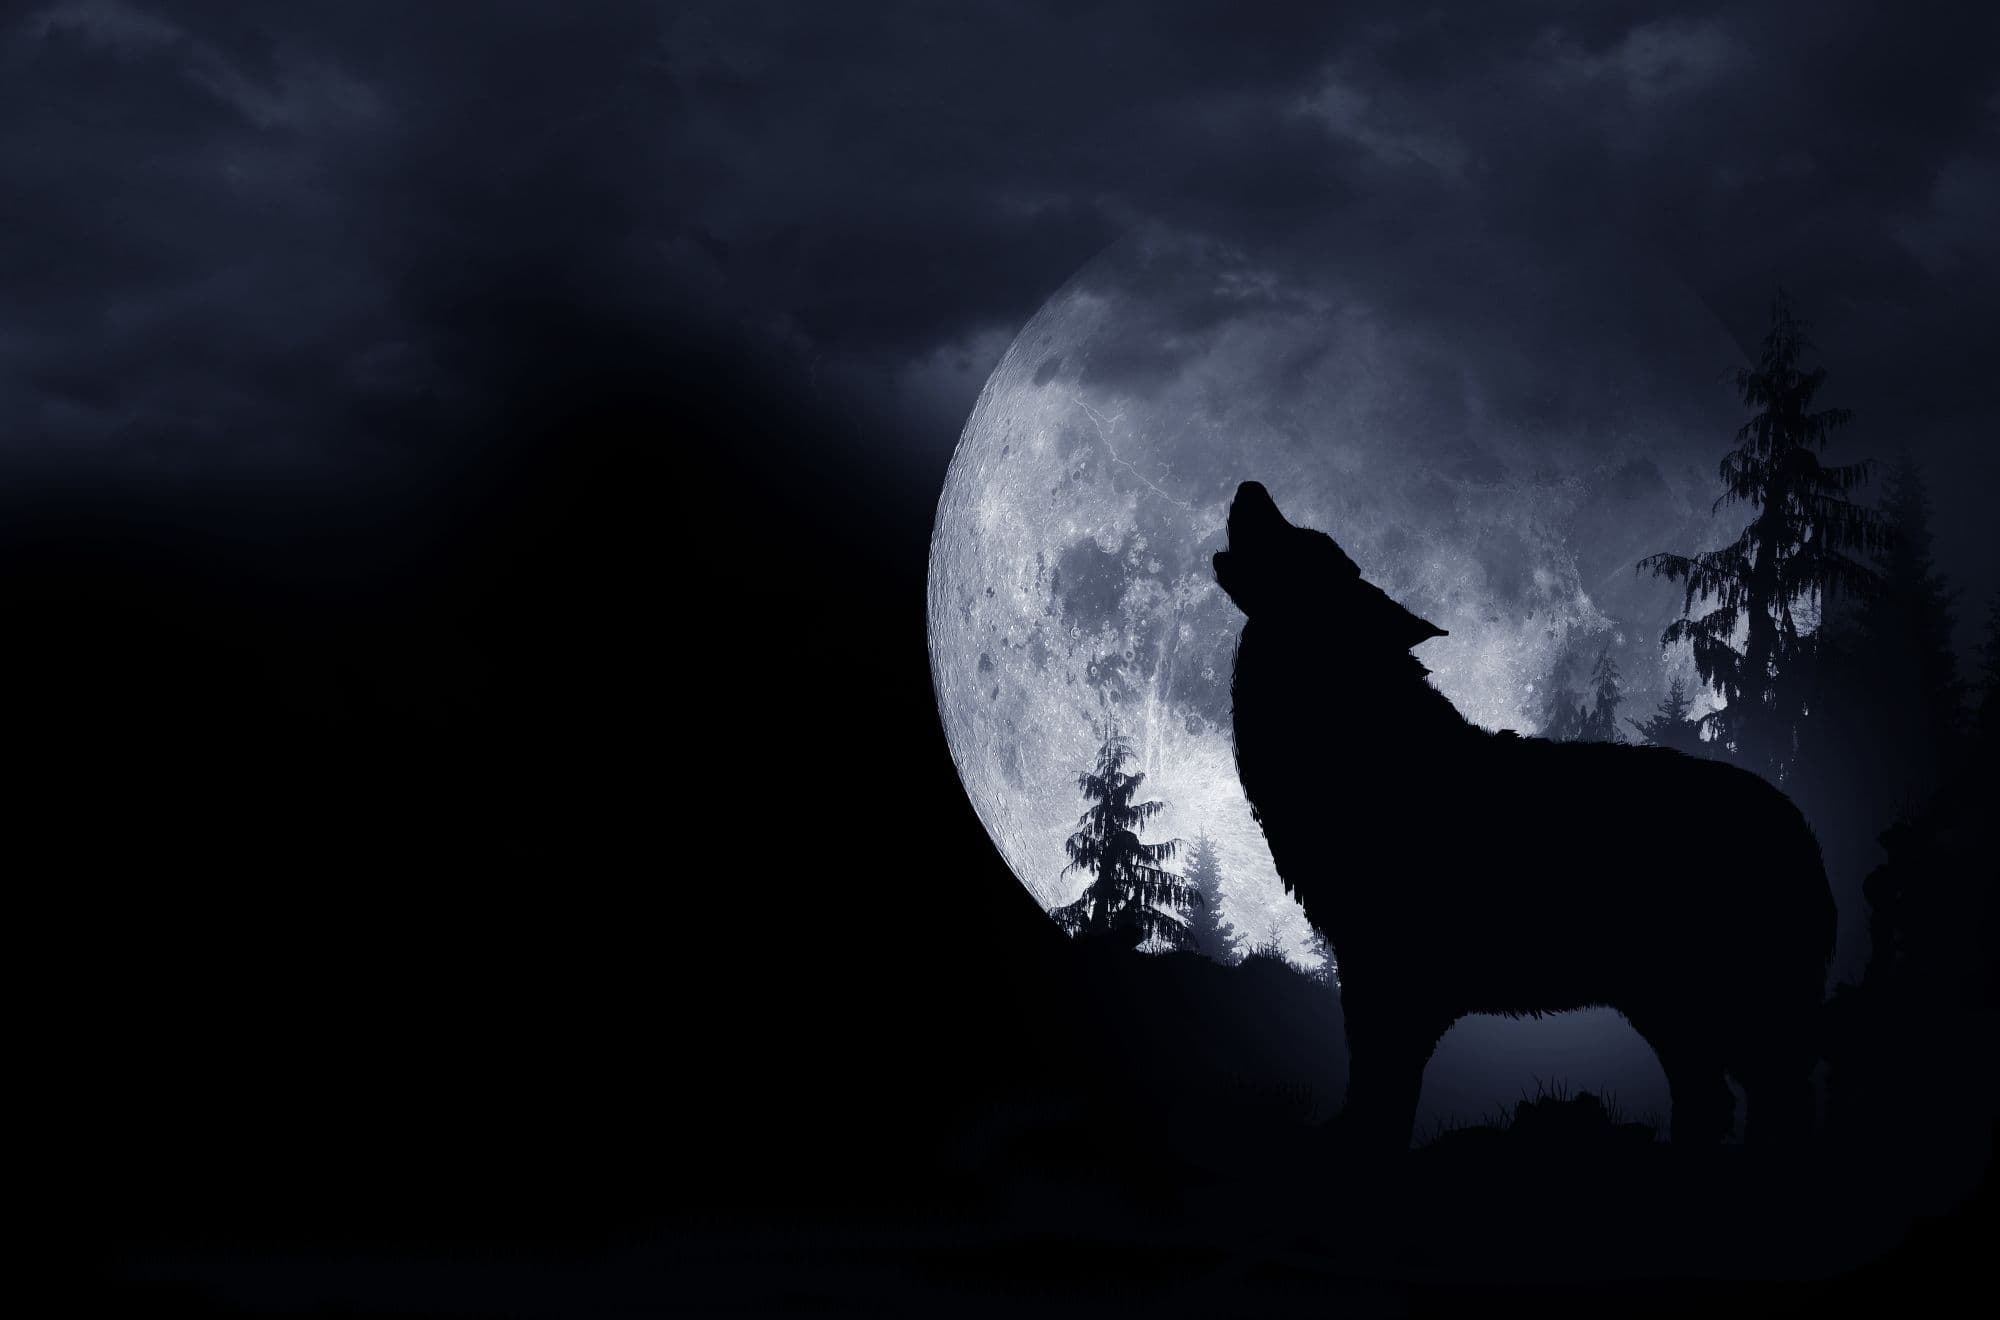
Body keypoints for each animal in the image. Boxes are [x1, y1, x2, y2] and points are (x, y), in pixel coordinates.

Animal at [1212, 481, 1835, 1148]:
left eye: (1306, 544)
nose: (1250, 487)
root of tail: (1800, 824)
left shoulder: (1389, 976)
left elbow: (1379, 1098)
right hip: (1667, 1007)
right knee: (1712, 1101)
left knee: (1779, 1100)